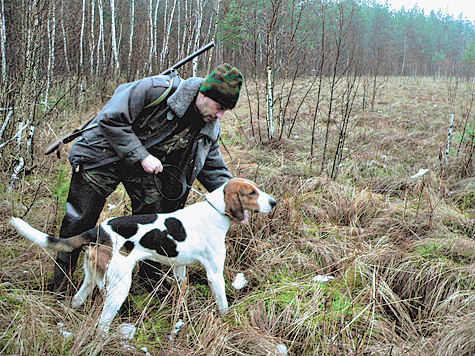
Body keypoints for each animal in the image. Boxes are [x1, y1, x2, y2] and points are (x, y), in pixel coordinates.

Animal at [10, 179, 278, 332]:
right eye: (251, 193)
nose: (274, 202)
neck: (216, 211)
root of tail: (98, 230)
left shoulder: (179, 267)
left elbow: (181, 289)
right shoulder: (214, 273)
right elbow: (222, 303)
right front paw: (228, 320)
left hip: (90, 278)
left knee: (77, 299)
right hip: (119, 286)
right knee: (102, 323)